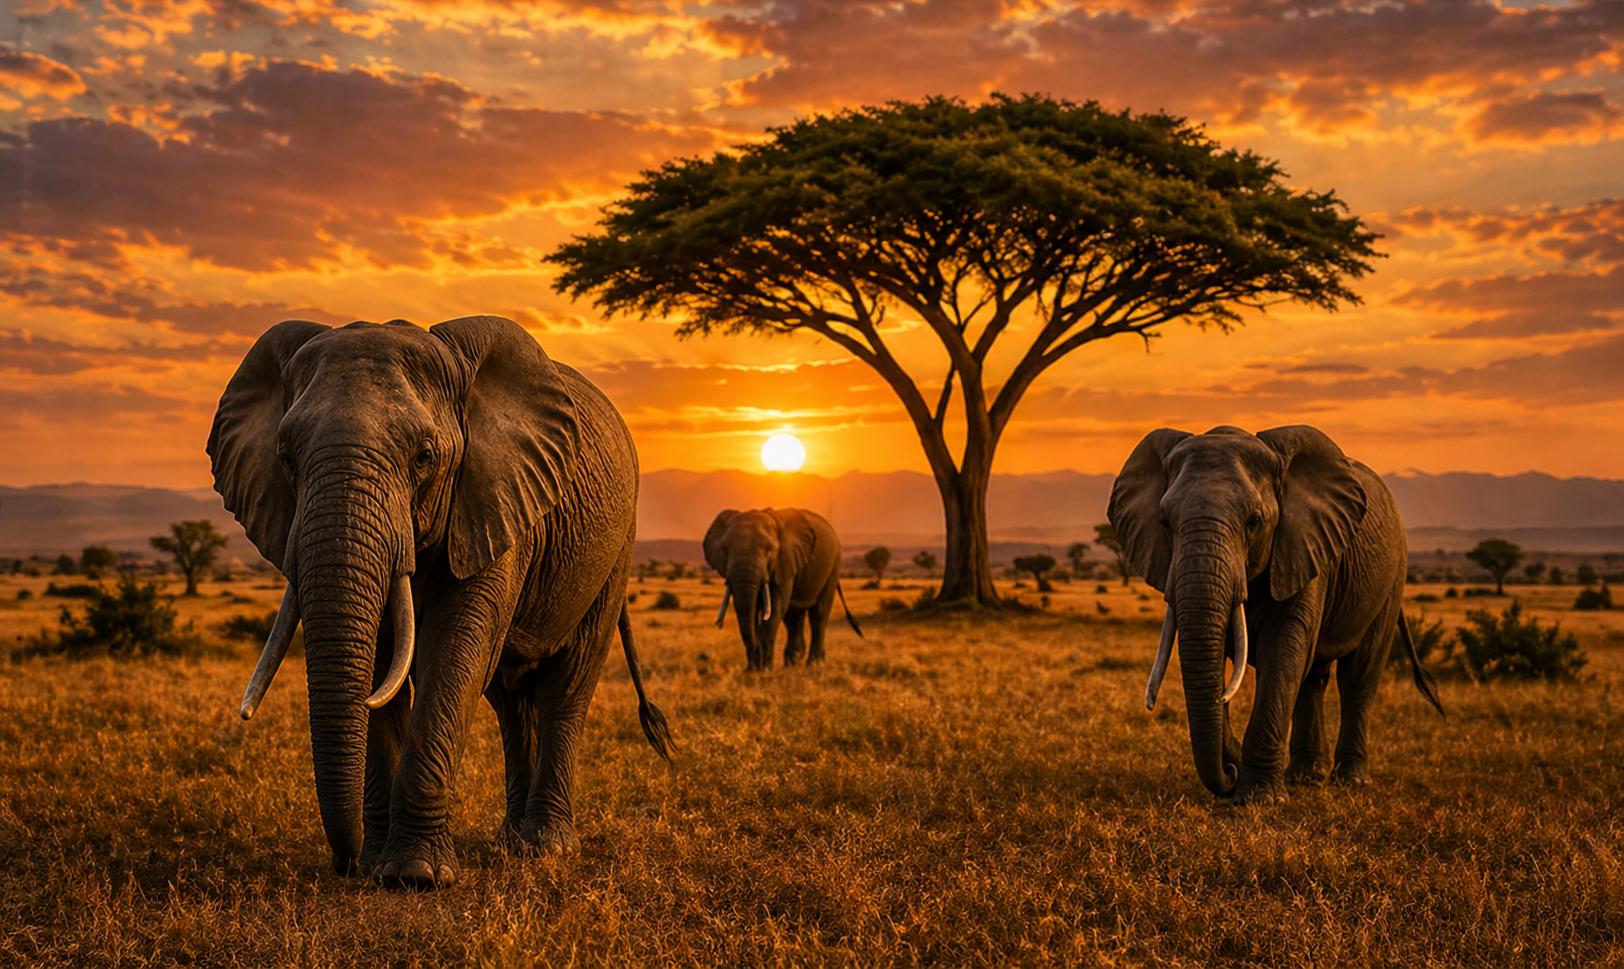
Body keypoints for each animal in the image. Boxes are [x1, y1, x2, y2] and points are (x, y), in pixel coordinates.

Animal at [209, 315, 672, 889]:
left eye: (424, 458)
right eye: (286, 458)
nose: (345, 864)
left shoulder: (496, 498)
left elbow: (454, 649)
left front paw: (415, 876)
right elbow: (383, 661)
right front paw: (378, 867)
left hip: (615, 550)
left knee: (566, 685)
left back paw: (545, 848)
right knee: (509, 700)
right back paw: (509, 843)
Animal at [702, 508, 861, 670]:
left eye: (769, 550)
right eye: (724, 550)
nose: (756, 660)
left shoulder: (784, 560)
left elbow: (775, 607)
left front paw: (764, 670)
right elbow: (742, 609)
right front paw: (751, 671)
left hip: (834, 566)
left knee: (819, 614)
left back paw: (814, 665)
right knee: (794, 615)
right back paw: (792, 664)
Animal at [1107, 424, 1442, 805]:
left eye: (1254, 522)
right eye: (1164, 522)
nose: (1230, 774)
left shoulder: (1304, 546)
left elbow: (1283, 649)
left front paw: (1261, 799)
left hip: (1392, 577)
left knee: (1357, 676)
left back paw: (1351, 781)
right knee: (1312, 678)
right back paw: (1306, 777)